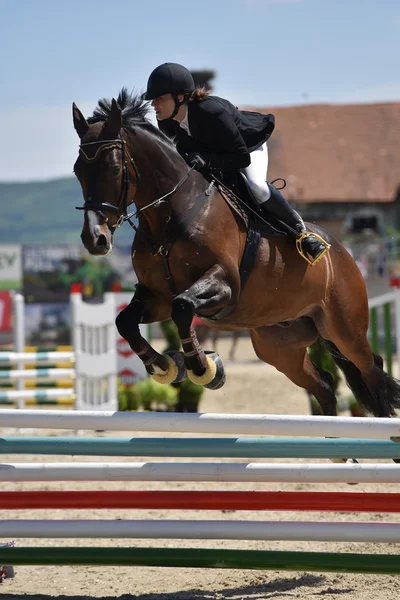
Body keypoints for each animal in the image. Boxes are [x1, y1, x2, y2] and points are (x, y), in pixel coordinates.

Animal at [72, 90, 400, 418]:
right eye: (77, 171)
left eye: (115, 169)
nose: (94, 239)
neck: (169, 217)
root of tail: (342, 254)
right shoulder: (157, 296)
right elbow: (125, 321)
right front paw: (164, 366)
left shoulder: (225, 284)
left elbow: (182, 307)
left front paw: (203, 368)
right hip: (281, 344)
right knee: (325, 384)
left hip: (345, 328)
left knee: (372, 371)